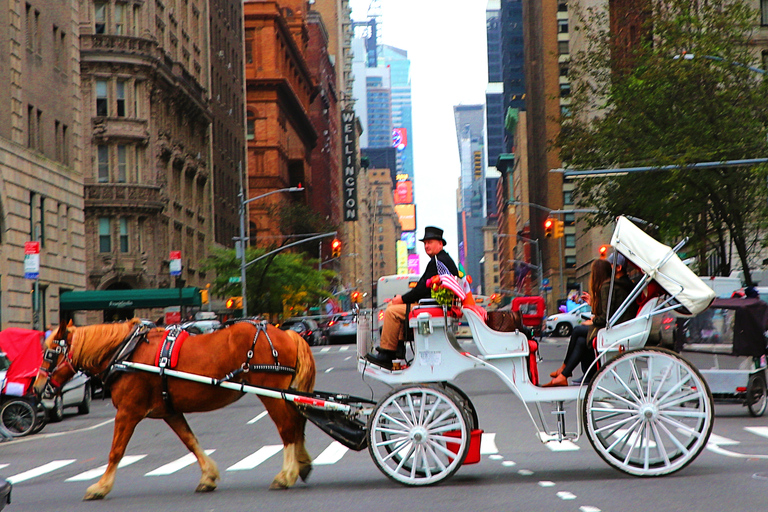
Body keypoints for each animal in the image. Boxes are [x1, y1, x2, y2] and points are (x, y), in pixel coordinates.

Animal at [33, 318, 316, 502]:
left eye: (50, 354)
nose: (36, 388)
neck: (125, 354)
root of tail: (287, 334)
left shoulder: (127, 411)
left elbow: (116, 451)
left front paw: (101, 487)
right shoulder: (169, 411)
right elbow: (191, 442)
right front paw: (208, 477)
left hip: (271, 393)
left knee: (288, 427)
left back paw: (286, 475)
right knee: (298, 422)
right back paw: (302, 465)